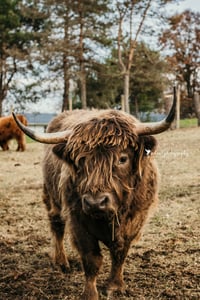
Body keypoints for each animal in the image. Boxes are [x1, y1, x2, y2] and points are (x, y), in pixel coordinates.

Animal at [12, 89, 176, 300]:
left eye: (122, 158)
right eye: (80, 161)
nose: (95, 202)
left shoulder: (135, 219)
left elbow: (120, 253)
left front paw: (115, 286)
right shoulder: (78, 220)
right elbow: (91, 259)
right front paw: (90, 294)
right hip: (51, 196)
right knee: (56, 226)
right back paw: (62, 262)